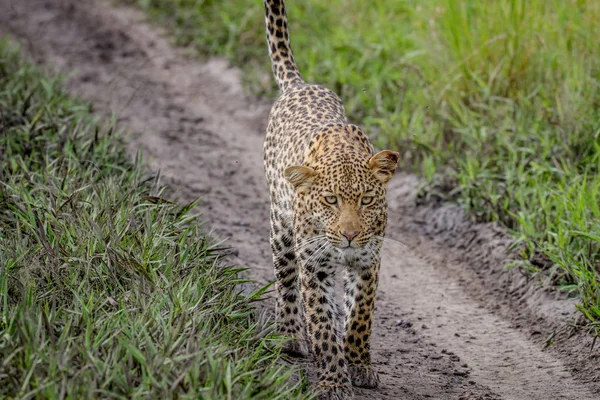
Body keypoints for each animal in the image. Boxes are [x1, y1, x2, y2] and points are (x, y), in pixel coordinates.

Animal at [262, 1, 398, 398]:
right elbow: (320, 322)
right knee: (286, 281)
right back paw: (290, 336)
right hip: (281, 228)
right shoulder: (315, 265)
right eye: (330, 200)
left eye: (367, 200)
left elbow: (360, 316)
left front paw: (359, 364)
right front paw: (334, 381)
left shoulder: (369, 261)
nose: (350, 235)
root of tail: (301, 85)